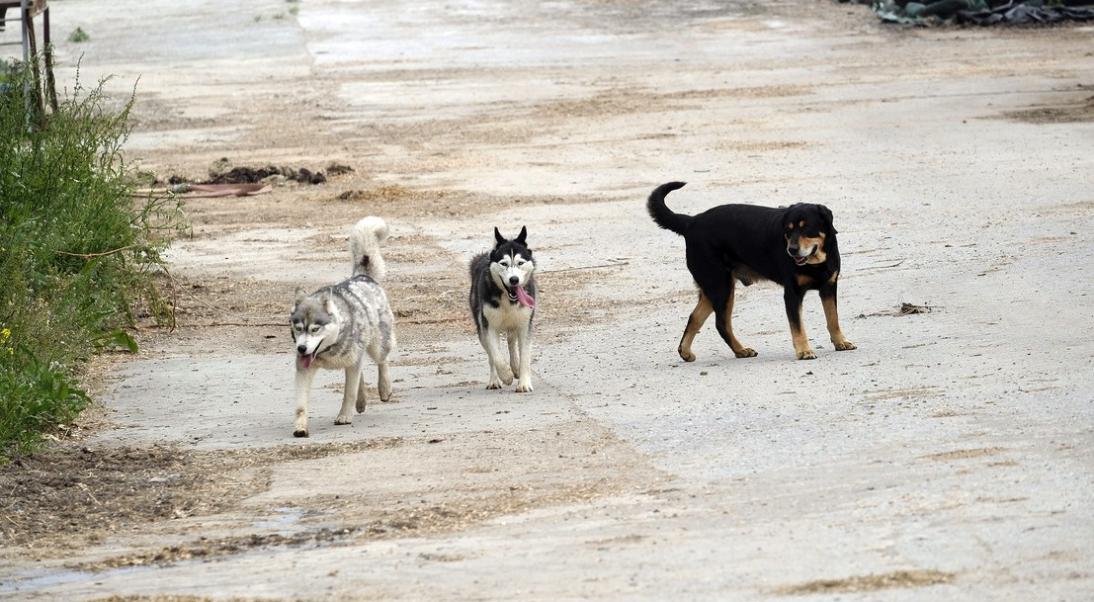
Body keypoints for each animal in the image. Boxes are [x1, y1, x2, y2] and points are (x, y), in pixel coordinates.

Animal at [647, 182, 853, 363]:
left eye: (807, 228)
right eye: (788, 230)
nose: (792, 250)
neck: (817, 262)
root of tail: (691, 222)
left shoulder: (829, 287)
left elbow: (833, 319)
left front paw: (840, 341)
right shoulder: (792, 294)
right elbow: (798, 327)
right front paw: (804, 351)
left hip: (714, 288)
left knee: (695, 318)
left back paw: (687, 352)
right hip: (721, 287)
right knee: (721, 324)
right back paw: (740, 350)